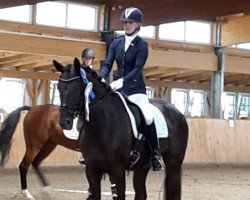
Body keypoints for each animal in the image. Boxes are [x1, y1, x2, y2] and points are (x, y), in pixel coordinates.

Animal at [54, 58, 188, 200]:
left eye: (76, 87)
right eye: (59, 87)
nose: (64, 122)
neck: (102, 127)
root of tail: (176, 111)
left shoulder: (117, 170)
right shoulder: (91, 169)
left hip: (174, 162)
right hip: (143, 166)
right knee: (141, 193)